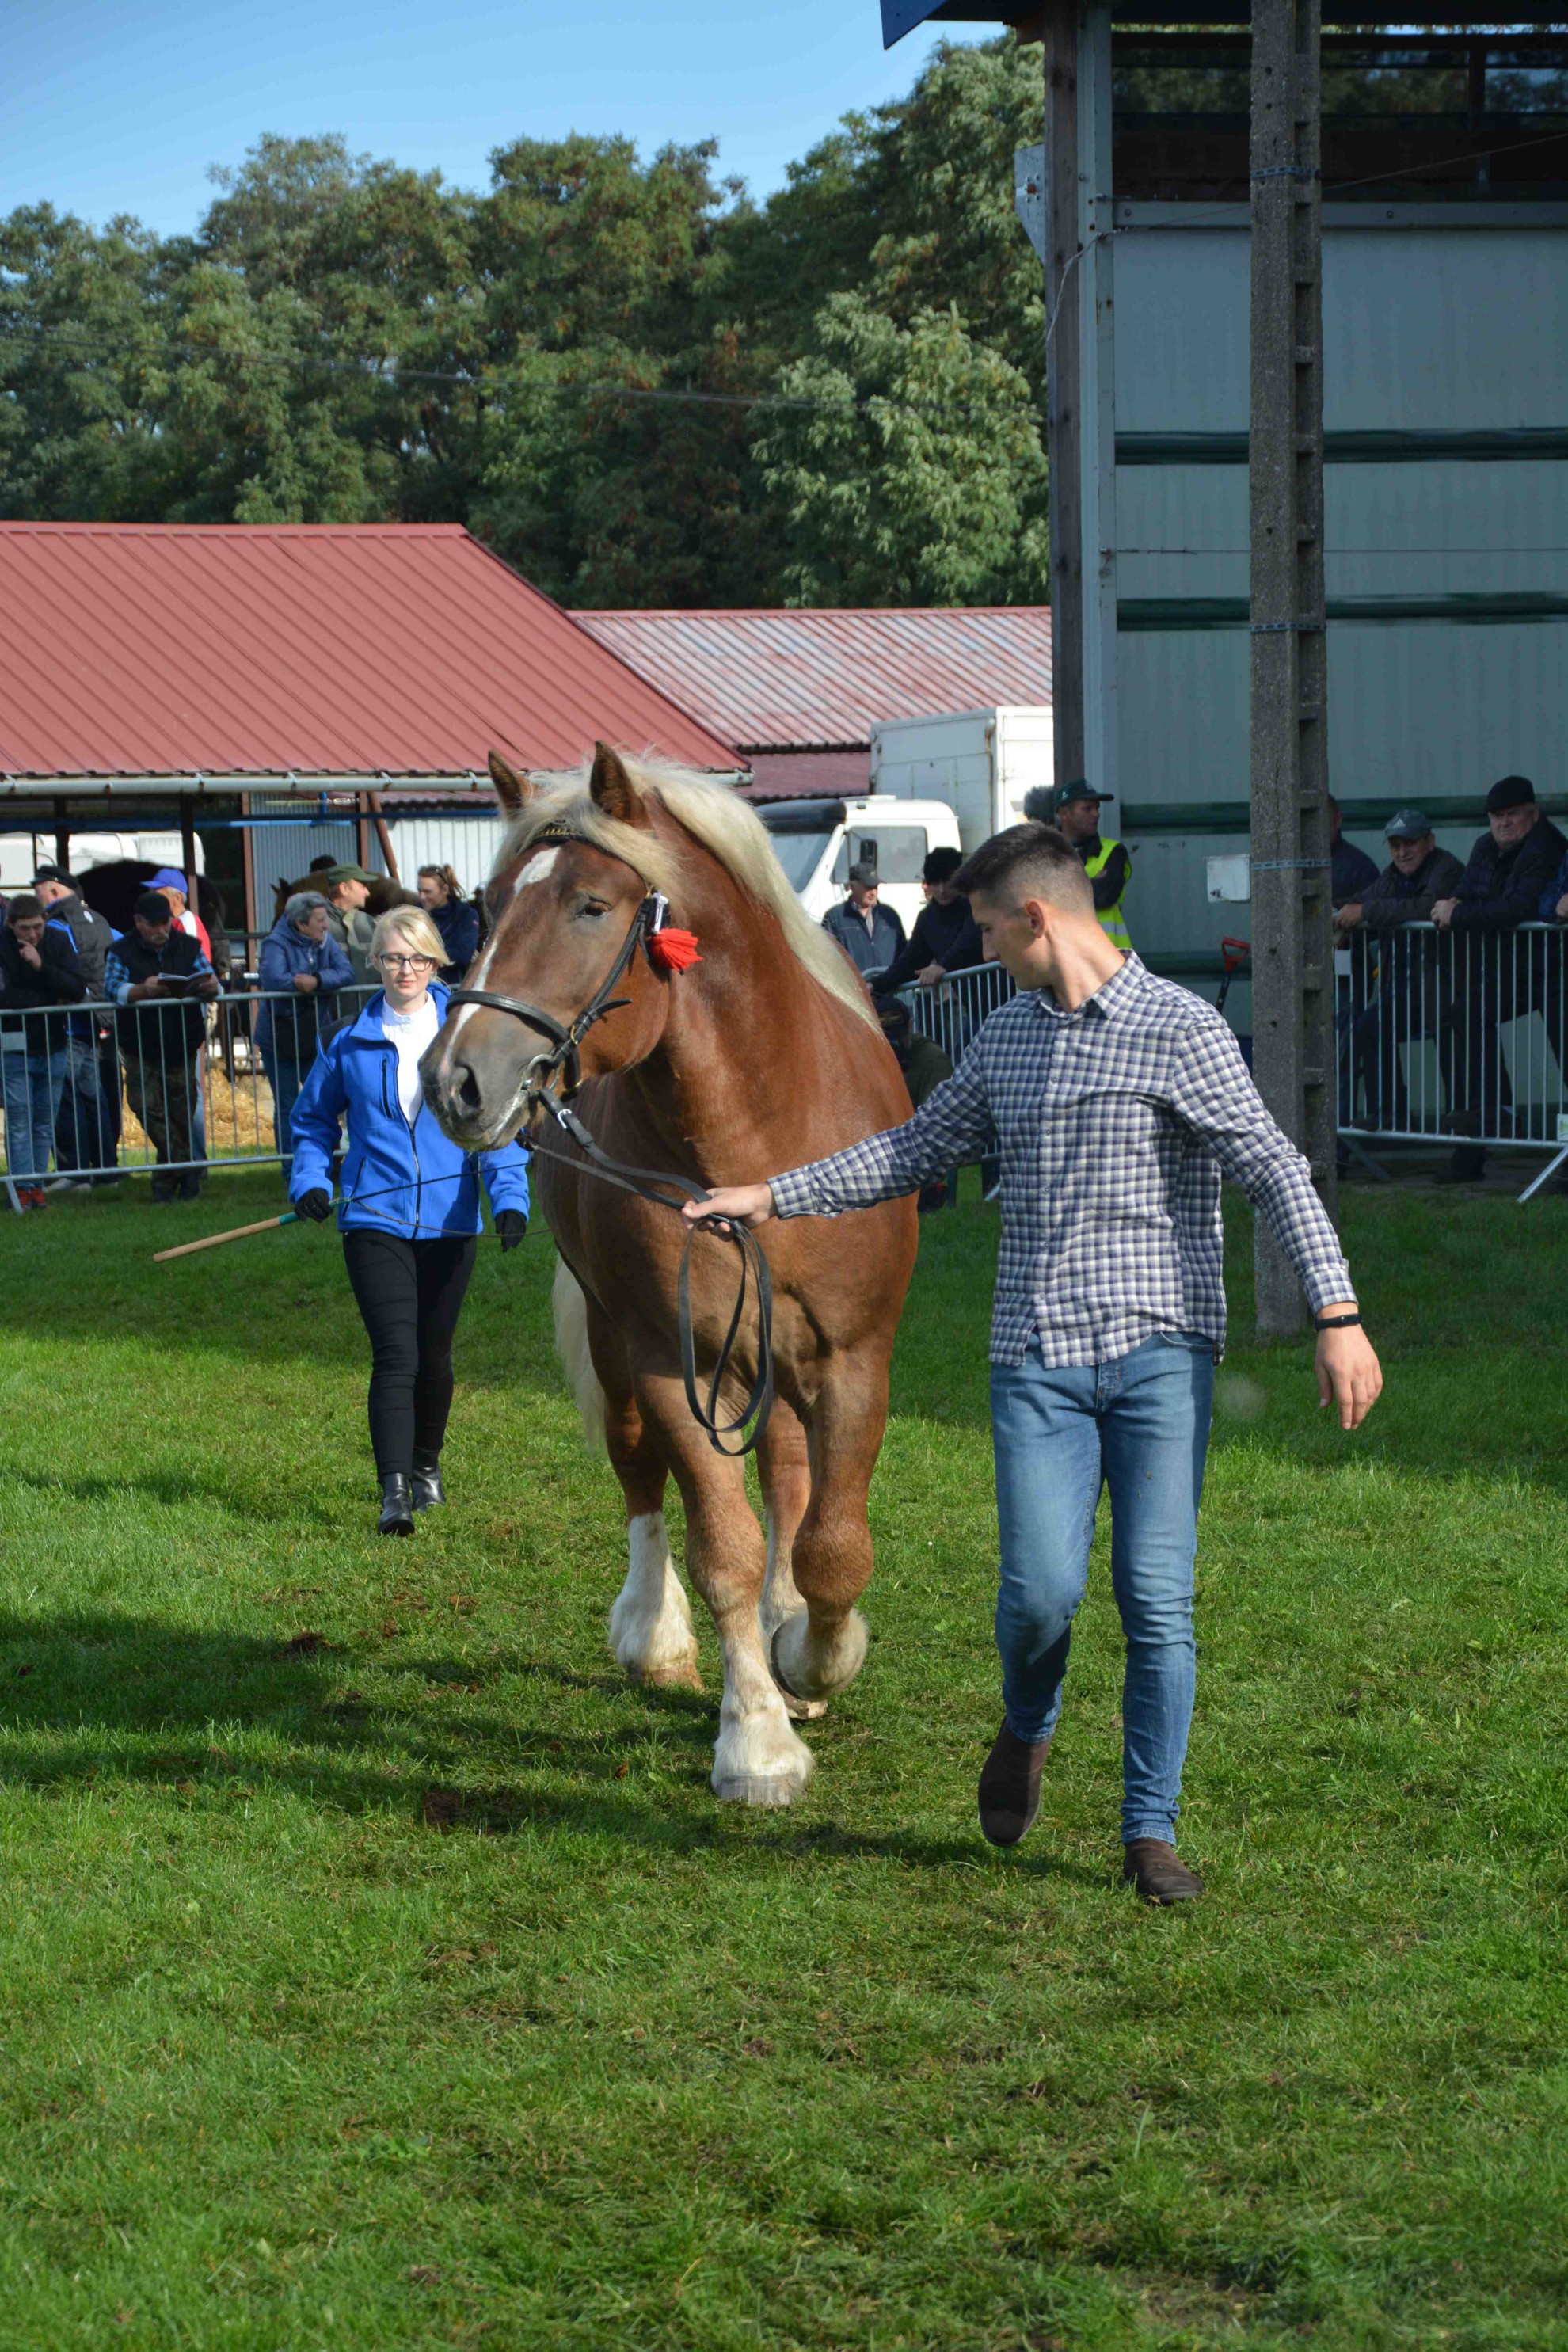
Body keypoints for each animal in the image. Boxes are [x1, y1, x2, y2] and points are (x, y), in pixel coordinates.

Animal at [420, 742, 919, 1807]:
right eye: (486, 903)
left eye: (590, 906)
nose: (455, 1081)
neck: (758, 1135)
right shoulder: (668, 1358)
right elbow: (722, 1546)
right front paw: (758, 1738)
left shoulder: (855, 1360)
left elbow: (831, 1545)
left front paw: (812, 1655)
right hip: (628, 1352)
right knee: (639, 1472)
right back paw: (653, 1635)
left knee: (786, 1478)